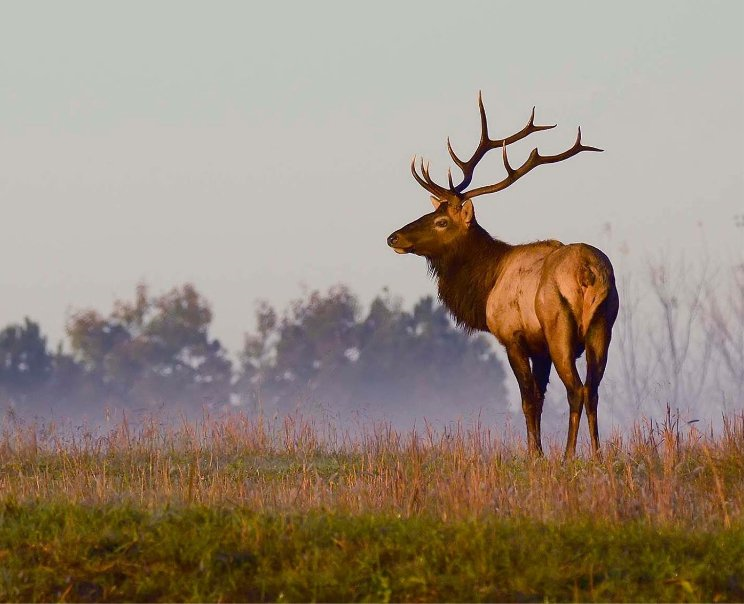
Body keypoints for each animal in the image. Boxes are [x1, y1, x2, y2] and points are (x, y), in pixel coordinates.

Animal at [387, 94, 619, 458]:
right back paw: (596, 455)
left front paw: (535, 455)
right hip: (602, 325)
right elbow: (540, 397)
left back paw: (569, 456)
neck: (486, 284)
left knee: (577, 390)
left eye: (441, 221)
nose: (393, 237)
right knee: (593, 390)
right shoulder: (539, 347)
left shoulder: (513, 335)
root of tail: (587, 271)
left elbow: (528, 399)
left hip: (560, 328)